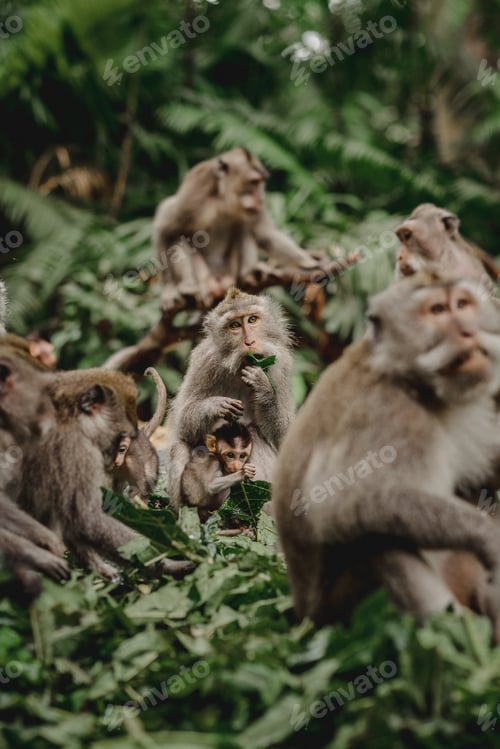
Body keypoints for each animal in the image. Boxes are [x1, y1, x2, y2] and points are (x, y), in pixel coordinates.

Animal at [153, 148, 323, 310]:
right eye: (253, 182)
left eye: (260, 183)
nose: (261, 198)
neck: (224, 201)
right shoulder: (195, 192)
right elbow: (166, 229)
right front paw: (169, 291)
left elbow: (265, 235)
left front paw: (307, 260)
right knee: (177, 236)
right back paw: (188, 287)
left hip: (231, 270)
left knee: (245, 228)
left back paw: (249, 272)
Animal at [167, 287, 295, 514]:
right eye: (235, 325)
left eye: (252, 320)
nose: (250, 342)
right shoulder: (204, 361)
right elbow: (183, 425)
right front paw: (215, 406)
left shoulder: (281, 365)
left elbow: (285, 439)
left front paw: (263, 387)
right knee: (180, 446)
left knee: (254, 433)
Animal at [272, 275, 500, 641]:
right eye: (438, 310)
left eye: (463, 305)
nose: (468, 331)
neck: (412, 381)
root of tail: (303, 617)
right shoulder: (385, 414)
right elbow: (339, 502)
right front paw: (491, 540)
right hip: (338, 614)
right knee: (380, 543)